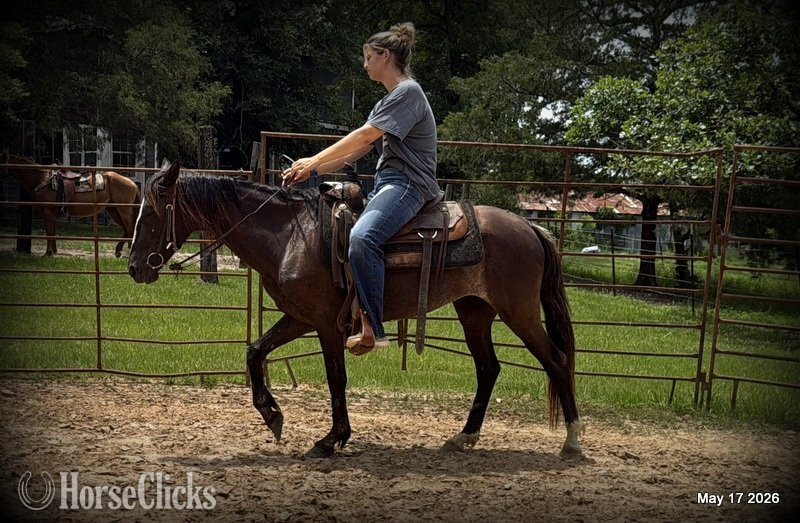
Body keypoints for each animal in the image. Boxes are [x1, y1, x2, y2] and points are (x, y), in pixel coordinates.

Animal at [6, 156, 141, 257]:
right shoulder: (52, 214)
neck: (42, 179)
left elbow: (49, 232)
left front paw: (48, 253)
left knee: (130, 227)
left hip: (123, 210)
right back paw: (118, 251)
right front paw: (54, 252)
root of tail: (132, 183)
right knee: (126, 229)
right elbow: (52, 231)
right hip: (113, 210)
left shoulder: (48, 211)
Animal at [127, 161, 583, 458]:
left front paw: (332, 439)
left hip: (519, 313)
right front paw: (273, 416)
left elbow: (336, 380)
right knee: (489, 369)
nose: (134, 267)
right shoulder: (300, 317)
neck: (291, 235)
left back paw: (572, 440)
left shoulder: (327, 325)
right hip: (474, 311)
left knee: (557, 361)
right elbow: (255, 351)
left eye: (151, 213)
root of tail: (530, 227)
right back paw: (463, 438)